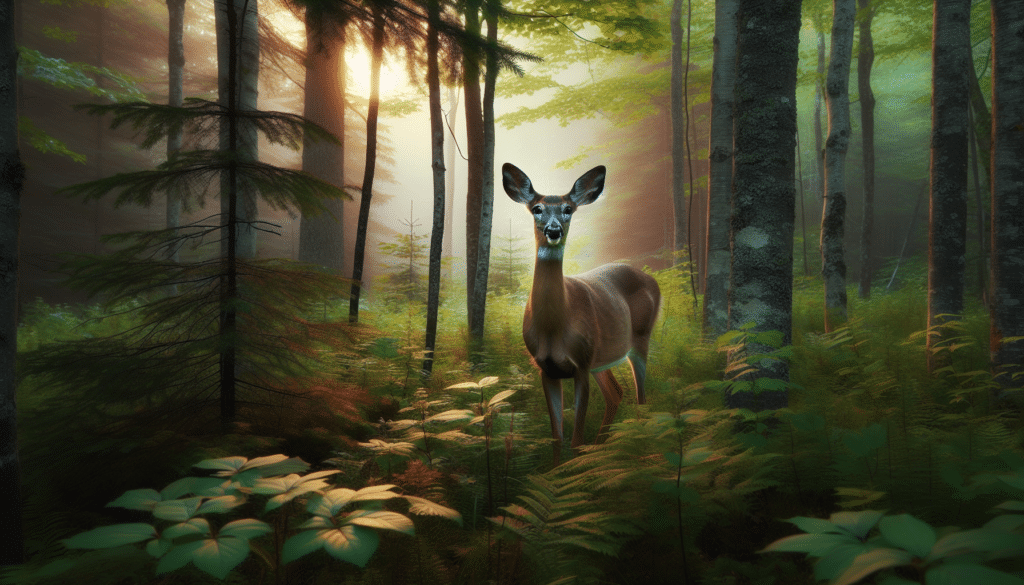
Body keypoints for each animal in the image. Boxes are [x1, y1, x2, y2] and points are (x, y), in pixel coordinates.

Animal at [502, 163, 661, 464]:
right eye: (537, 208)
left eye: (568, 209)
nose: (553, 230)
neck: (554, 328)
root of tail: (651, 279)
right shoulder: (546, 368)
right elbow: (557, 438)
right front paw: (556, 471)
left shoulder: (582, 365)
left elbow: (575, 439)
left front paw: (575, 466)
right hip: (602, 357)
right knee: (616, 394)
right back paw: (601, 448)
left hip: (639, 339)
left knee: (642, 398)